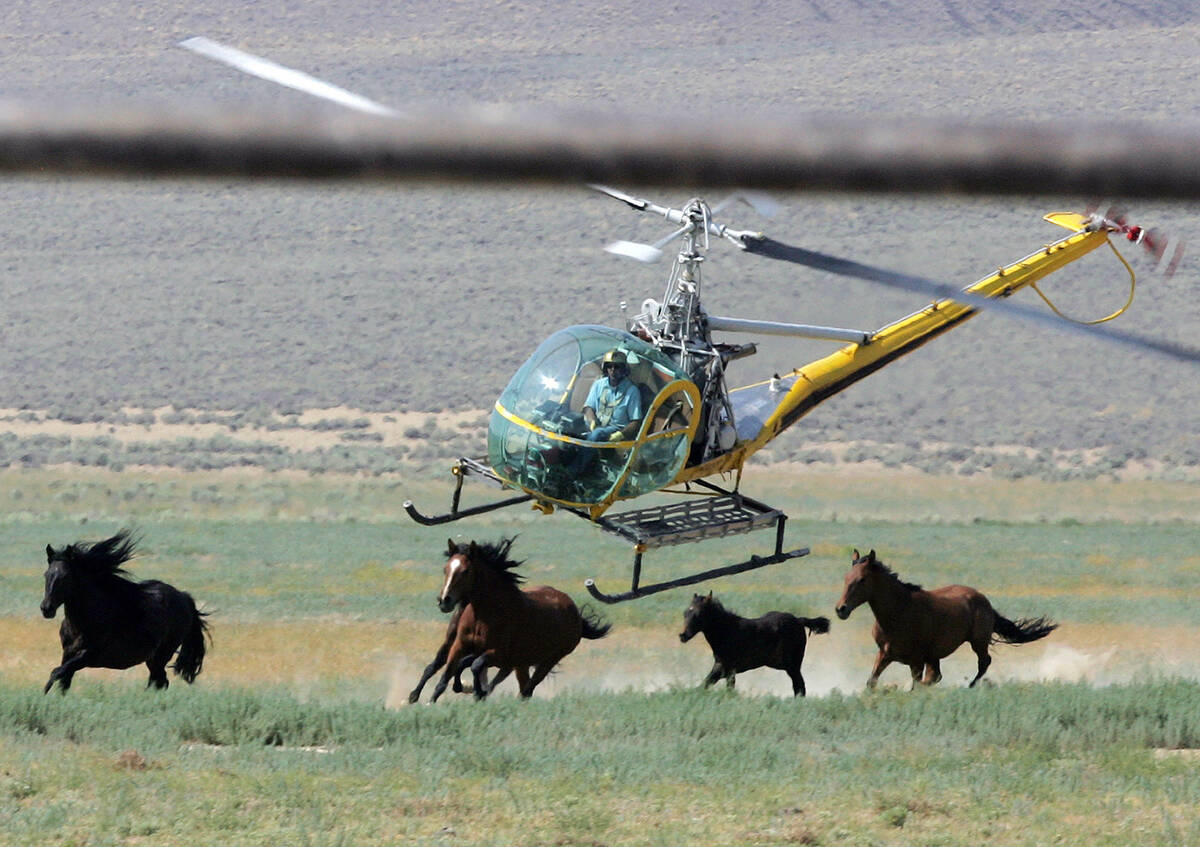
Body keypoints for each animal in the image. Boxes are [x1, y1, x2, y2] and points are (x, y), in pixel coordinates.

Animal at [41, 527, 211, 691]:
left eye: (65, 577)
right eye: (46, 574)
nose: (46, 608)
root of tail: (184, 597)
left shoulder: (87, 656)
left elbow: (55, 673)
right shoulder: (68, 654)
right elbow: (63, 682)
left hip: (161, 655)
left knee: (159, 682)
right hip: (153, 659)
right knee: (159, 682)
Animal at [432, 535, 609, 700]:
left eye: (465, 571)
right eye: (445, 569)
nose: (444, 600)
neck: (482, 616)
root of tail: (575, 612)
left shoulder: (498, 654)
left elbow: (475, 666)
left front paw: (476, 691)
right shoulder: (460, 646)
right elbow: (446, 677)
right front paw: (435, 699)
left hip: (547, 661)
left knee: (527, 691)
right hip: (521, 663)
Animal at [681, 590, 830, 695]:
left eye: (699, 614)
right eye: (685, 613)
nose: (682, 635)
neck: (728, 631)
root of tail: (799, 620)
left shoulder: (727, 668)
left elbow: (715, 685)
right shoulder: (723, 668)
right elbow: (706, 684)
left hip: (793, 665)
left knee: (799, 687)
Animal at [835, 547, 1060, 686]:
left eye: (862, 579)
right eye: (846, 578)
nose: (841, 609)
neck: (899, 613)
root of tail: (983, 600)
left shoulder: (916, 660)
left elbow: (917, 685)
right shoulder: (885, 654)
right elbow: (871, 682)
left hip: (977, 641)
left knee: (984, 662)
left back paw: (970, 686)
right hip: (935, 655)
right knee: (937, 675)